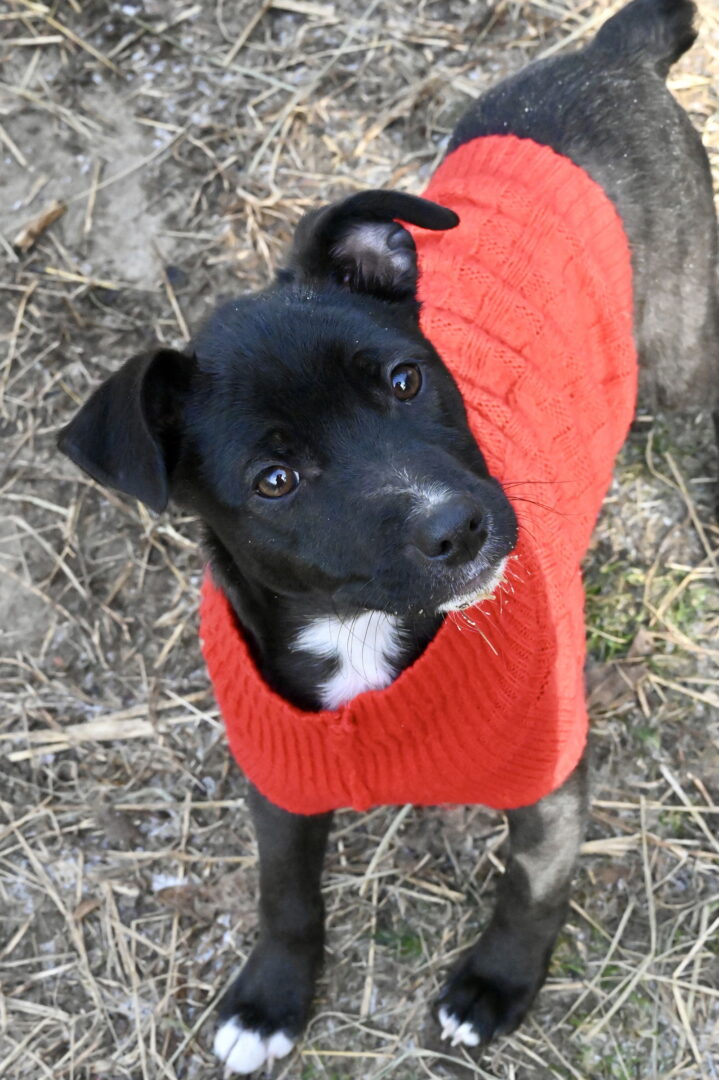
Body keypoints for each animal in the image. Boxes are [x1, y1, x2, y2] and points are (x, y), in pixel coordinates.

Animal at [59, 0, 719, 1073]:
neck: (365, 642)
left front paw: (494, 988)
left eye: (406, 379)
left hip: (681, 347)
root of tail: (609, 52)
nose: (459, 524)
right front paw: (270, 999)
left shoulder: (550, 779)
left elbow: (530, 887)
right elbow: (286, 895)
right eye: (275, 479)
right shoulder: (279, 783)